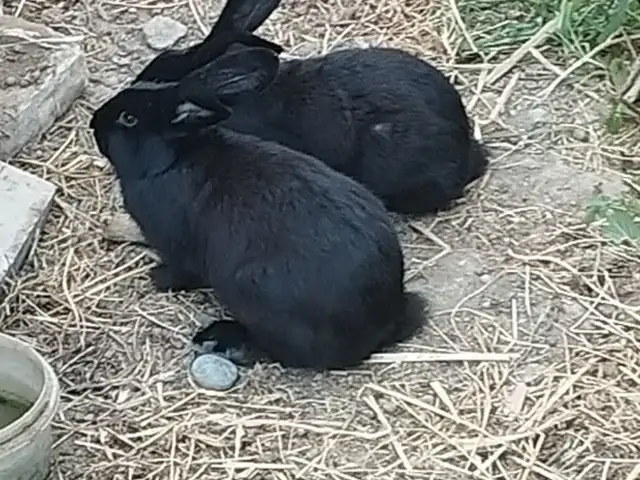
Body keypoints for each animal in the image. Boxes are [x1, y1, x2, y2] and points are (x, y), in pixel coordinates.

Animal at [89, 45, 428, 370]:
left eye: (128, 119)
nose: (94, 123)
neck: (170, 160)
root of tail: (383, 322)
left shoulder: (178, 247)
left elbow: (183, 271)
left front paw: (157, 277)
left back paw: (219, 338)